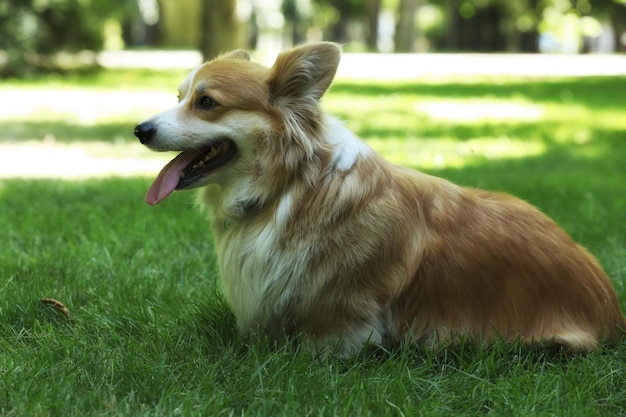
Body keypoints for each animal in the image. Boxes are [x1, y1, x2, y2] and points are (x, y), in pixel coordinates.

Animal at [133, 42, 624, 354]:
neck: (287, 187)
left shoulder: (343, 308)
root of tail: (612, 312)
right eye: (179, 96)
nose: (139, 130)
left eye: (207, 102)